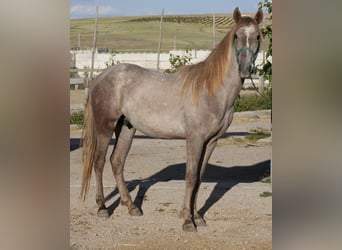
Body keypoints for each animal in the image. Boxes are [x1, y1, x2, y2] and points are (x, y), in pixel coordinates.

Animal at [81, 6, 264, 232]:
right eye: (237, 36)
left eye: (258, 36)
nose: (246, 69)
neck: (210, 89)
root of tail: (101, 76)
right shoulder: (194, 139)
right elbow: (190, 177)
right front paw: (187, 220)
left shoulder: (211, 142)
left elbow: (200, 178)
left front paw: (197, 217)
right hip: (105, 127)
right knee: (98, 163)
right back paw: (102, 208)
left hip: (126, 128)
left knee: (117, 162)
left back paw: (132, 206)